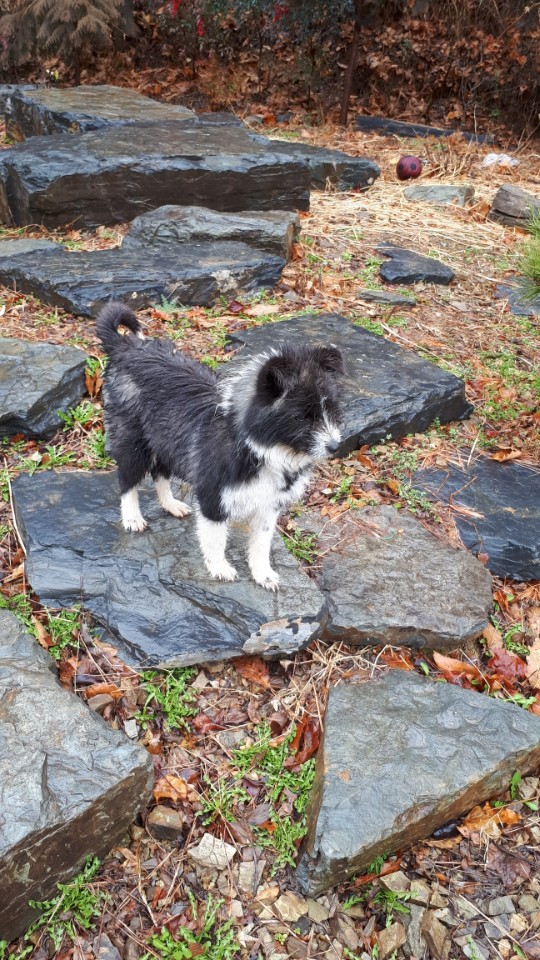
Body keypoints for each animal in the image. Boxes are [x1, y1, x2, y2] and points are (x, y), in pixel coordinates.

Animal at [96, 302, 344, 590]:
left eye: (331, 409)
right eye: (303, 417)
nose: (335, 446)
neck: (258, 448)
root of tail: (126, 346)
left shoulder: (269, 505)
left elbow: (261, 543)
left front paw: (263, 574)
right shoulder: (213, 495)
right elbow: (216, 538)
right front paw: (220, 568)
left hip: (167, 438)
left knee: (160, 472)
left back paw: (171, 504)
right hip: (132, 441)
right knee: (127, 481)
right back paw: (132, 518)